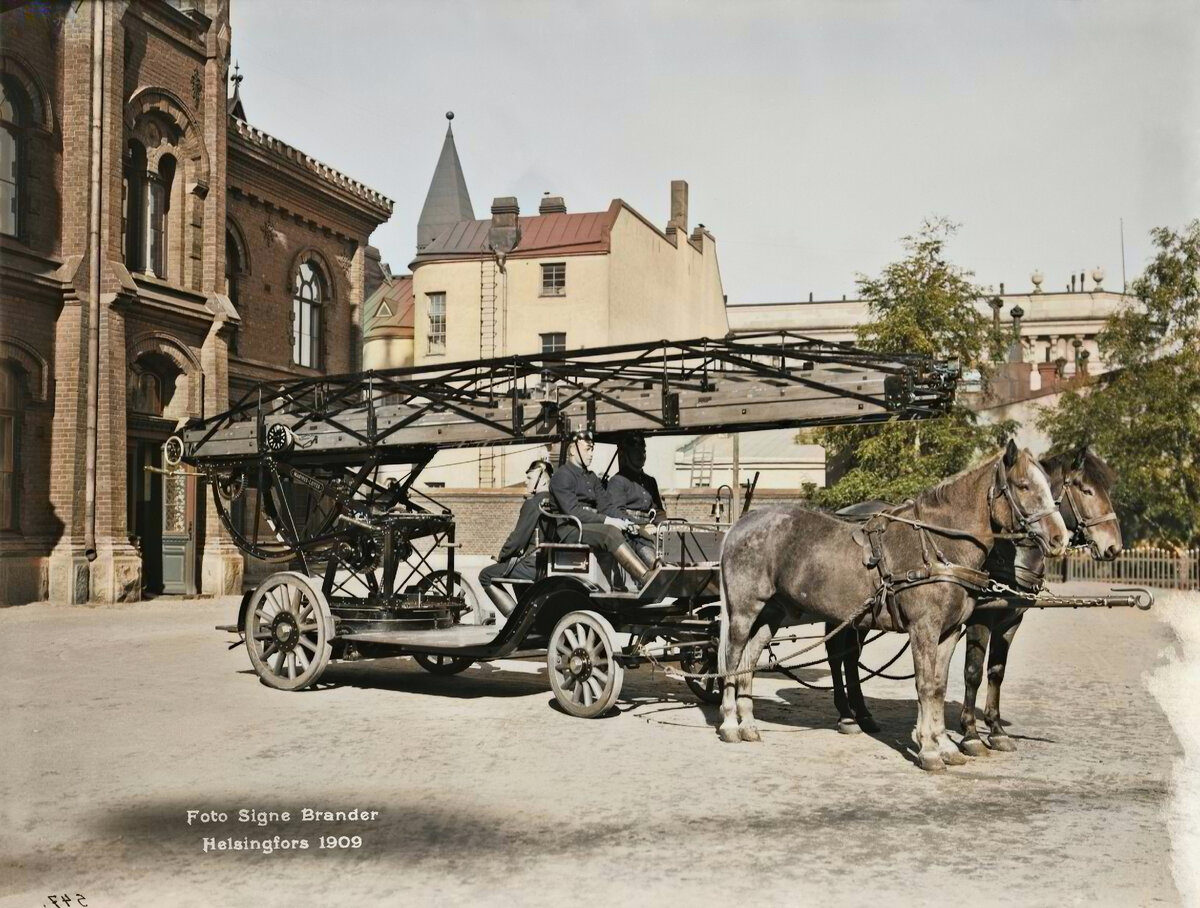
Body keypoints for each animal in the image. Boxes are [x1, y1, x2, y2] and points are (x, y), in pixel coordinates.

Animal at [715, 443, 1065, 767]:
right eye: (1024, 485)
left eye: (1052, 489)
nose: (1060, 538)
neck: (939, 548)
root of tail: (740, 525)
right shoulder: (924, 629)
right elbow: (924, 685)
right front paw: (928, 749)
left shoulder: (950, 631)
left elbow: (938, 686)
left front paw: (946, 745)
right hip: (744, 611)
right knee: (732, 659)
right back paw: (731, 723)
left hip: (773, 614)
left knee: (749, 660)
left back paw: (749, 725)